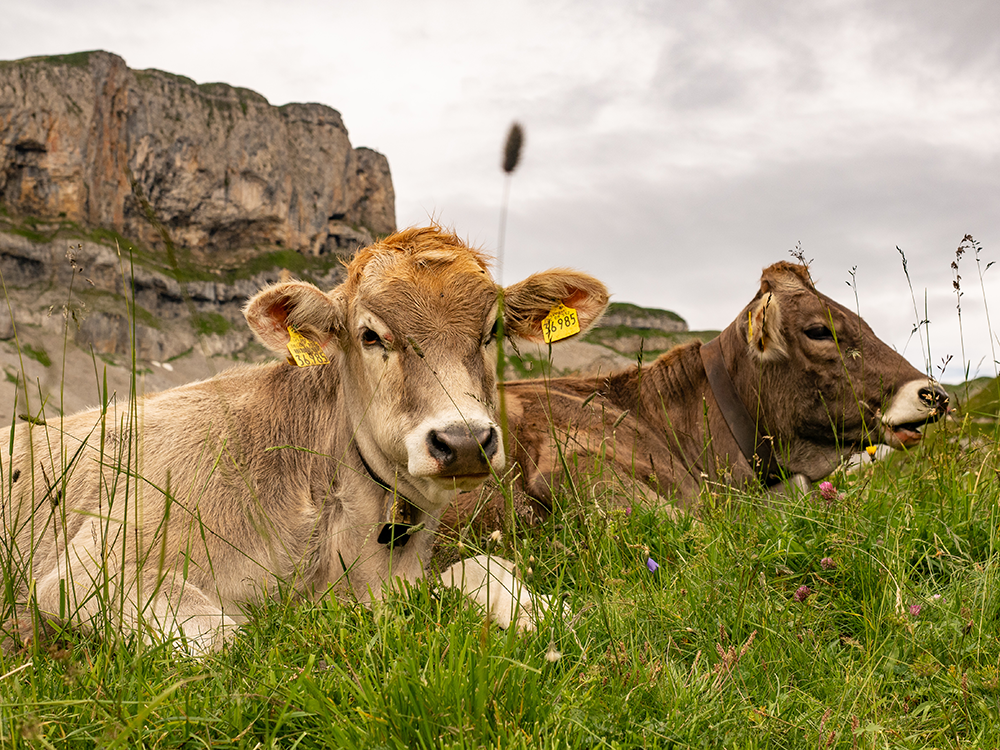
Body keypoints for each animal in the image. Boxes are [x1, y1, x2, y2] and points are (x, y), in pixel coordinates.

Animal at [1, 226, 608, 656]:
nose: (462, 441)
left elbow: (485, 569)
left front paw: (550, 616)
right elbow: (229, 643)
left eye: (491, 333)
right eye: (370, 335)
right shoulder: (88, 570)